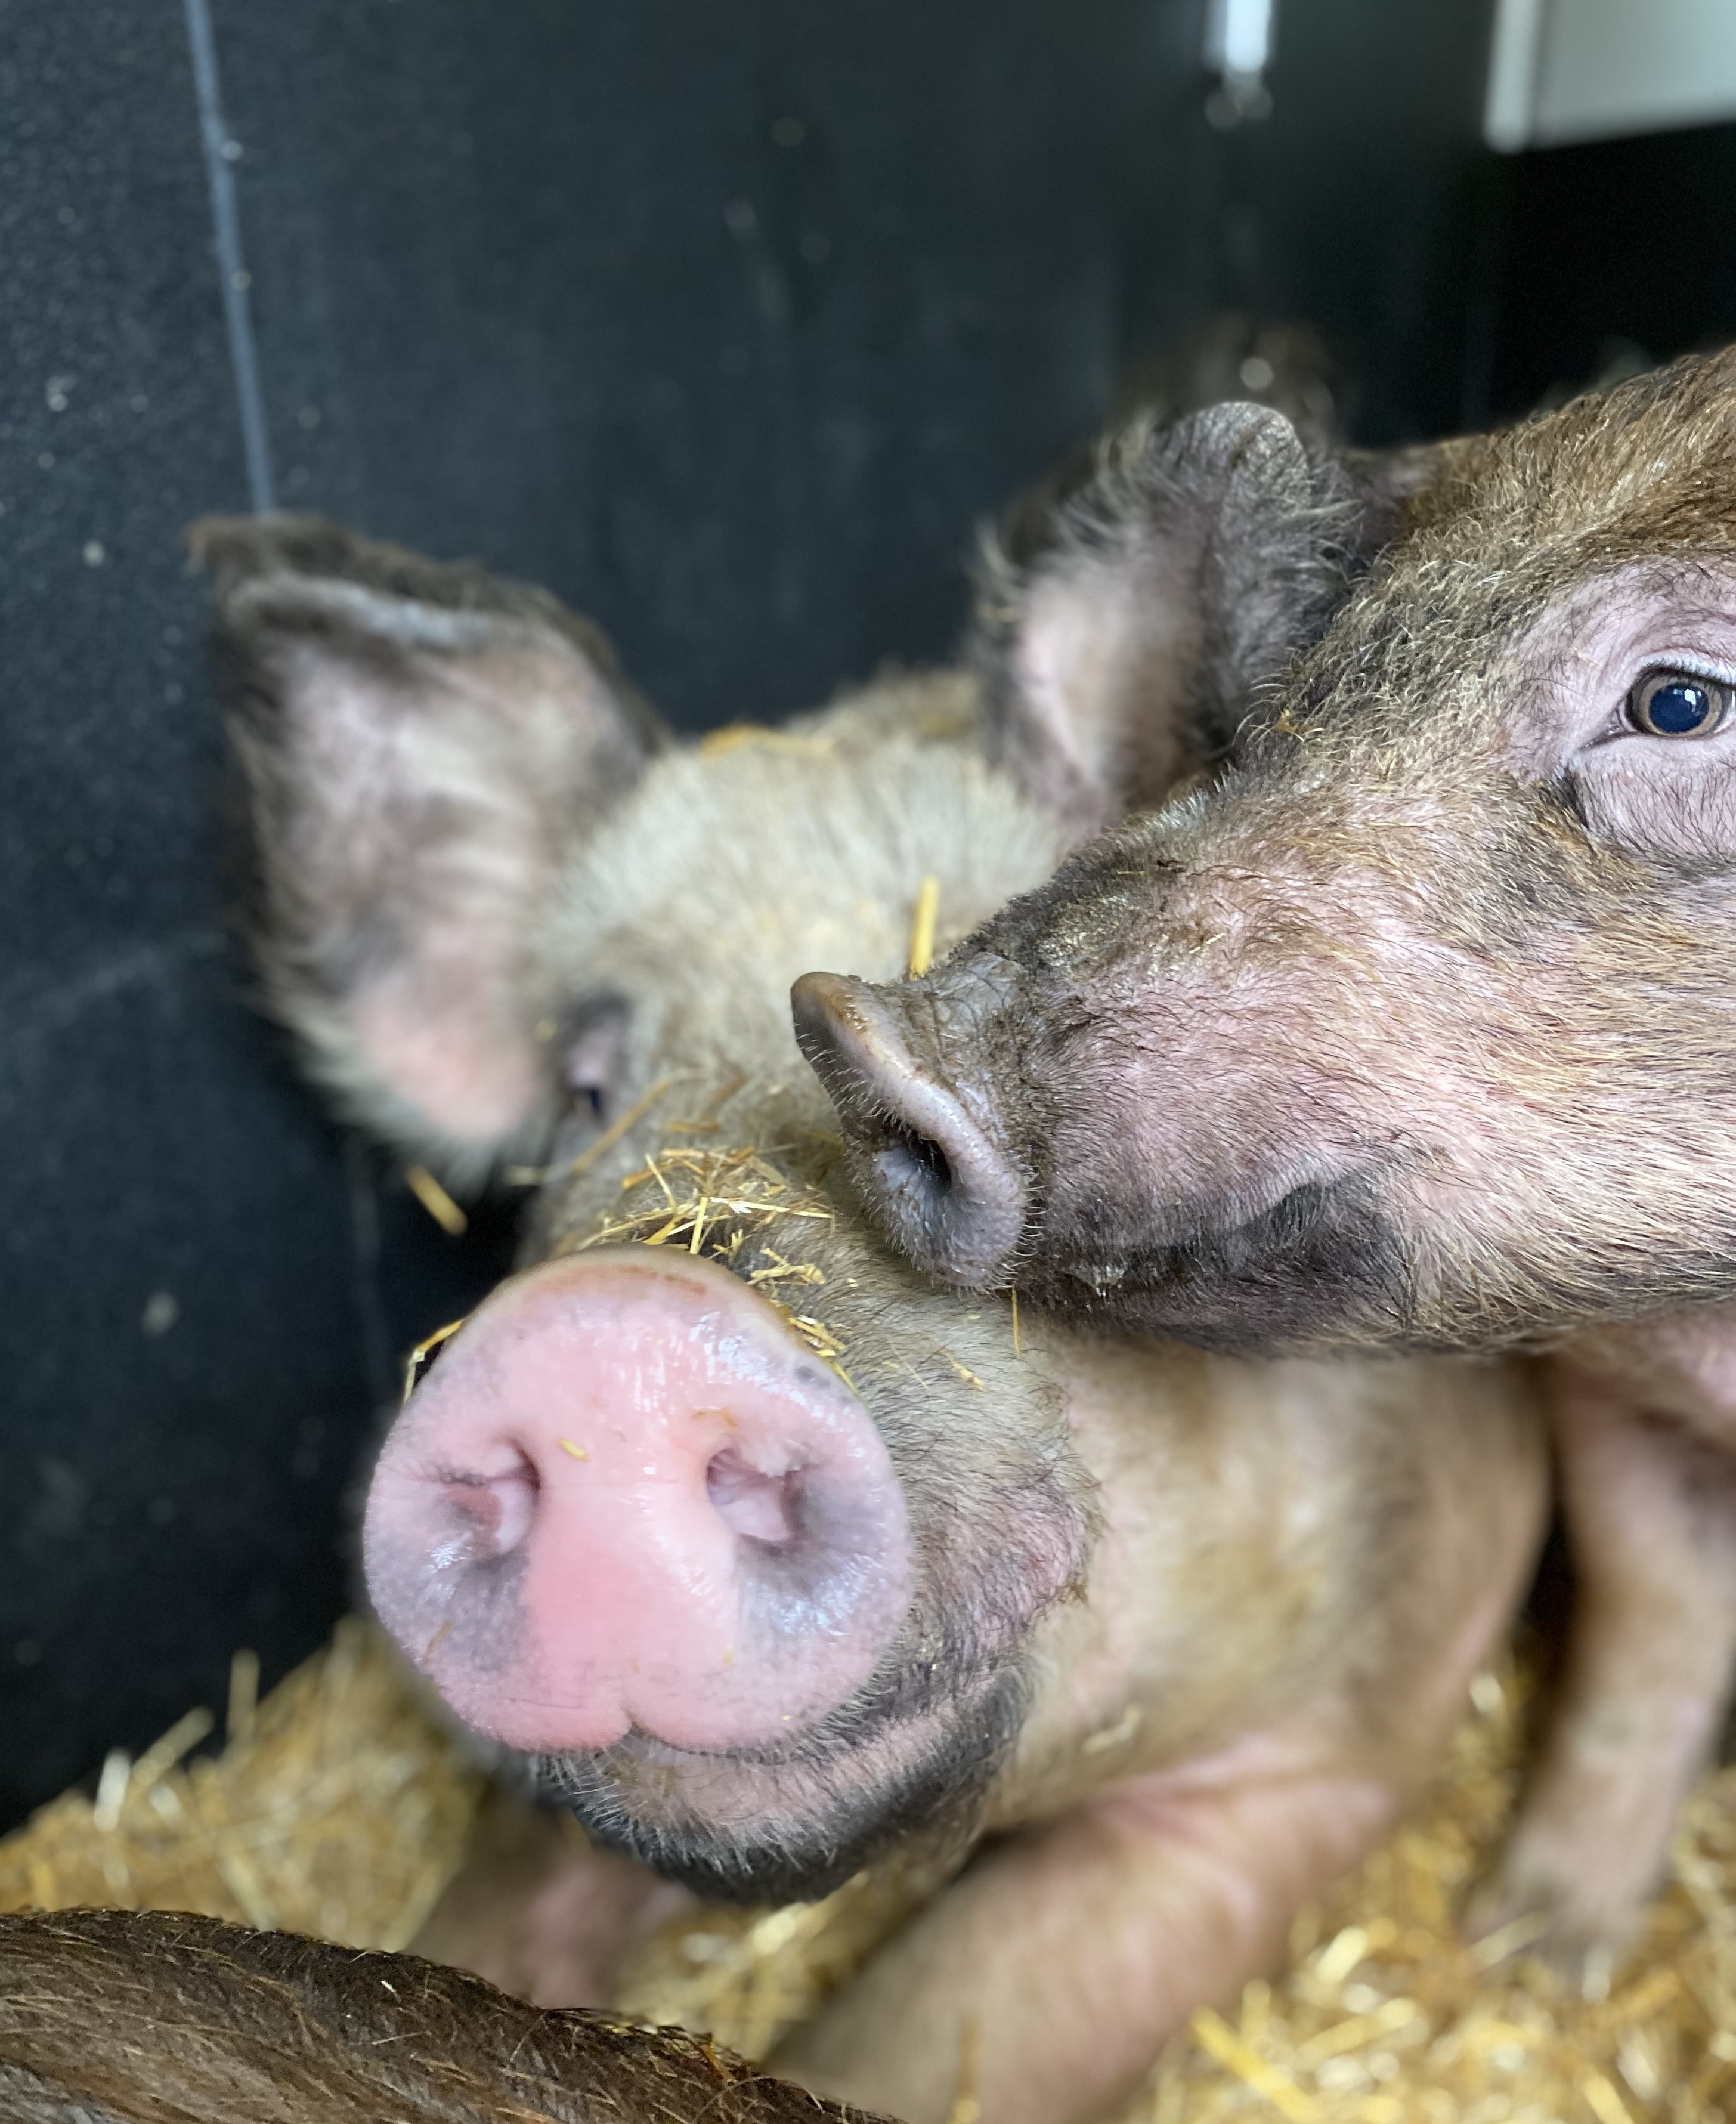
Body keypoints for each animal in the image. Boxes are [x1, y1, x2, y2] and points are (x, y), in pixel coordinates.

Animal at [794, 346, 1736, 1977]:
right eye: (1295, 694)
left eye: (1678, 702)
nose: (861, 1032)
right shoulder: (1619, 1397)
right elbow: (1651, 1610)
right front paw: (1528, 1944)